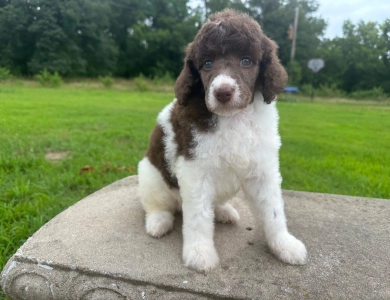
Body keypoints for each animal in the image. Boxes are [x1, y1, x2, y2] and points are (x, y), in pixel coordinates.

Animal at [139, 9, 306, 272]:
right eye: (207, 64)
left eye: (246, 61)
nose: (223, 92)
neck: (233, 118)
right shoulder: (194, 170)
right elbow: (197, 216)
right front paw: (199, 253)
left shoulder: (263, 169)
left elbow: (273, 210)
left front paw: (283, 244)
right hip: (150, 176)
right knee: (157, 204)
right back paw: (159, 221)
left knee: (213, 204)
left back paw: (224, 211)